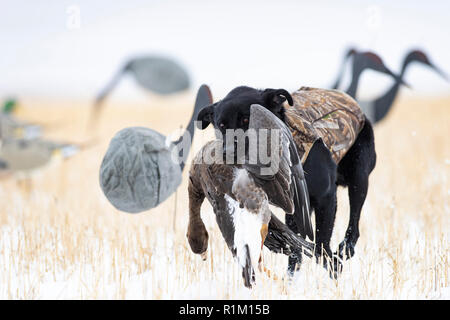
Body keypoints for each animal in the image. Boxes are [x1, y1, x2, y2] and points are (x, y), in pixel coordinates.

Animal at [197, 85, 376, 276]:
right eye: (221, 125)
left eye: (247, 119)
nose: (228, 152)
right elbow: (296, 246)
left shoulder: (326, 197)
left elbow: (321, 242)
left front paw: (333, 267)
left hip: (359, 175)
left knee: (354, 219)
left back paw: (346, 247)